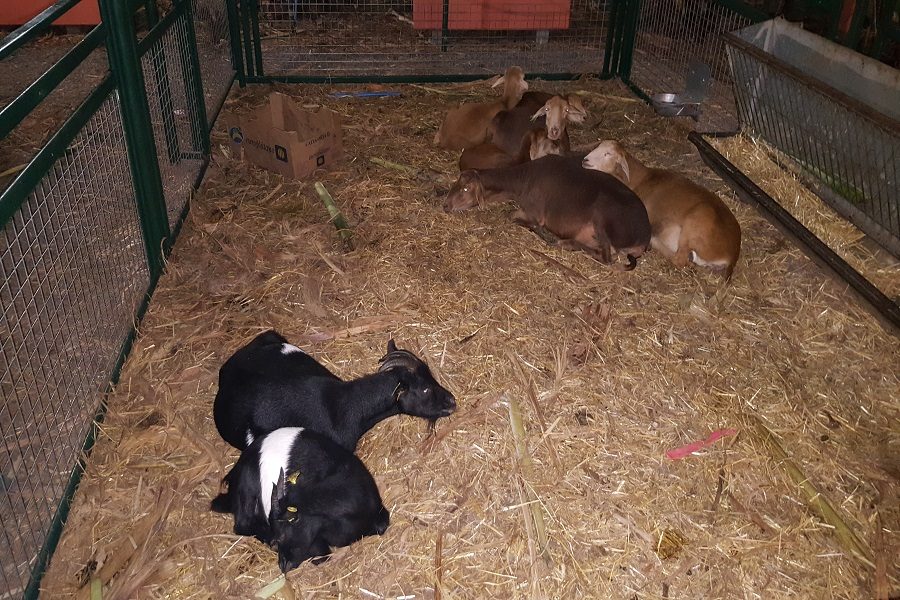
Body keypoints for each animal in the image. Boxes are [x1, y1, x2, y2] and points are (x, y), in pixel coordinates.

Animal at [444, 154, 651, 269]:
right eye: (455, 183)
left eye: (465, 189)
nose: (445, 205)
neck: (522, 182)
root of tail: (644, 238)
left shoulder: (535, 212)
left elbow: (512, 216)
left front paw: (540, 232)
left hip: (605, 217)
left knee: (608, 257)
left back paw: (564, 243)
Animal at [582, 140, 741, 278]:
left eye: (608, 153)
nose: (585, 161)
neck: (639, 179)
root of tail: (733, 255)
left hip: (696, 221)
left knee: (679, 259)